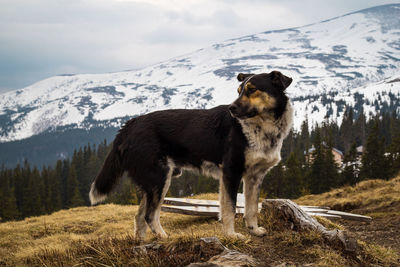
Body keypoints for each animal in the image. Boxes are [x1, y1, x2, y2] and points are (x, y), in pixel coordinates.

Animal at [89, 70, 292, 240]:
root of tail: (130, 124)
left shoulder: (254, 177)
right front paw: (231, 235)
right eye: (239, 91)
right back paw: (164, 237)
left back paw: (140, 242)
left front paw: (254, 230)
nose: (231, 108)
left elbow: (251, 209)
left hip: (152, 182)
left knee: (139, 217)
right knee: (149, 216)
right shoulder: (231, 173)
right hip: (159, 179)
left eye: (252, 90)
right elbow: (230, 208)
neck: (262, 127)